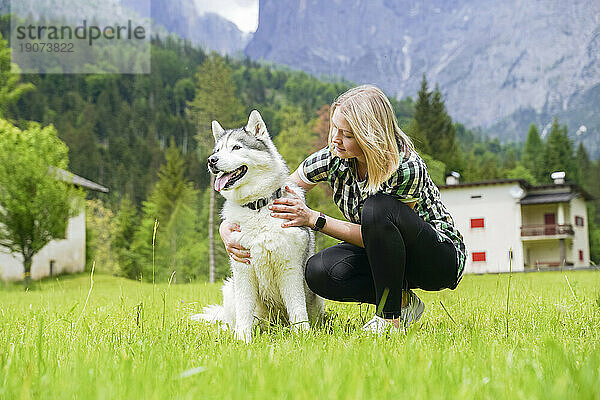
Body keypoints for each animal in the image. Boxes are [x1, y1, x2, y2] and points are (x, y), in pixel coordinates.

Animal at [191, 110, 324, 344]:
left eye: (236, 147)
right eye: (217, 150)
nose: (211, 160)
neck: (257, 206)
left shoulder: (290, 269)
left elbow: (297, 309)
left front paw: (302, 336)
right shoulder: (243, 270)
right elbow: (244, 311)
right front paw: (242, 339)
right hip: (230, 288)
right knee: (231, 319)